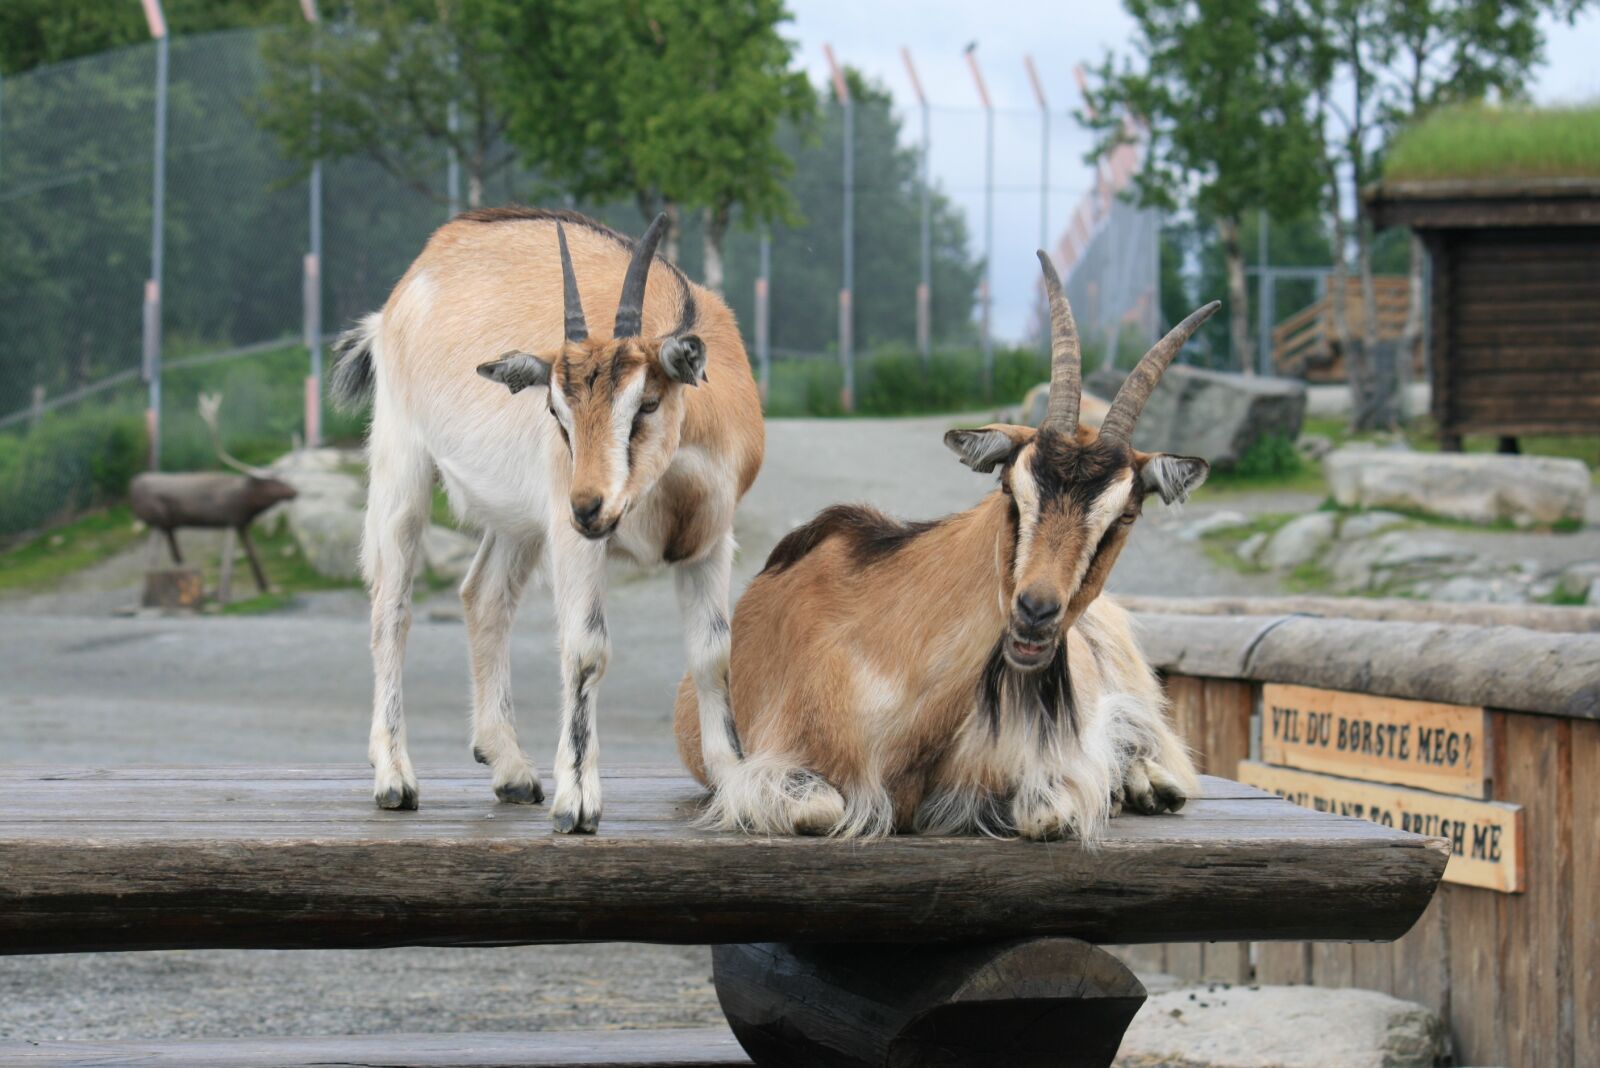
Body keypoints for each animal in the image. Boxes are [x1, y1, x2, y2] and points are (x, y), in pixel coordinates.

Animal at [129, 393, 297, 593]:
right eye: (272, 483)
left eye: (282, 480)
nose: (294, 491)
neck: (247, 500)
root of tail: (132, 485)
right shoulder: (231, 520)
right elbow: (228, 568)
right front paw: (224, 593)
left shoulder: (242, 524)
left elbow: (255, 558)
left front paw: (266, 587)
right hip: (157, 521)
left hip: (168, 524)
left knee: (175, 551)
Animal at [331, 208, 763, 832]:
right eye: (556, 411)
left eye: (647, 403)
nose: (589, 506)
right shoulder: (575, 540)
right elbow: (586, 649)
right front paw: (578, 803)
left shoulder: (708, 541)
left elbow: (714, 656)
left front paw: (738, 786)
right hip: (403, 466)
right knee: (391, 608)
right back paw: (394, 779)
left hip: (520, 522)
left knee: (483, 595)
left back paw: (510, 769)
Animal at [676, 253, 1216, 841]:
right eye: (1011, 488)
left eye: (1126, 515)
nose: (1035, 613)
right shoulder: (762, 769)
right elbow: (822, 809)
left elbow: (1047, 811)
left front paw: (1110, 790)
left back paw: (1148, 784)